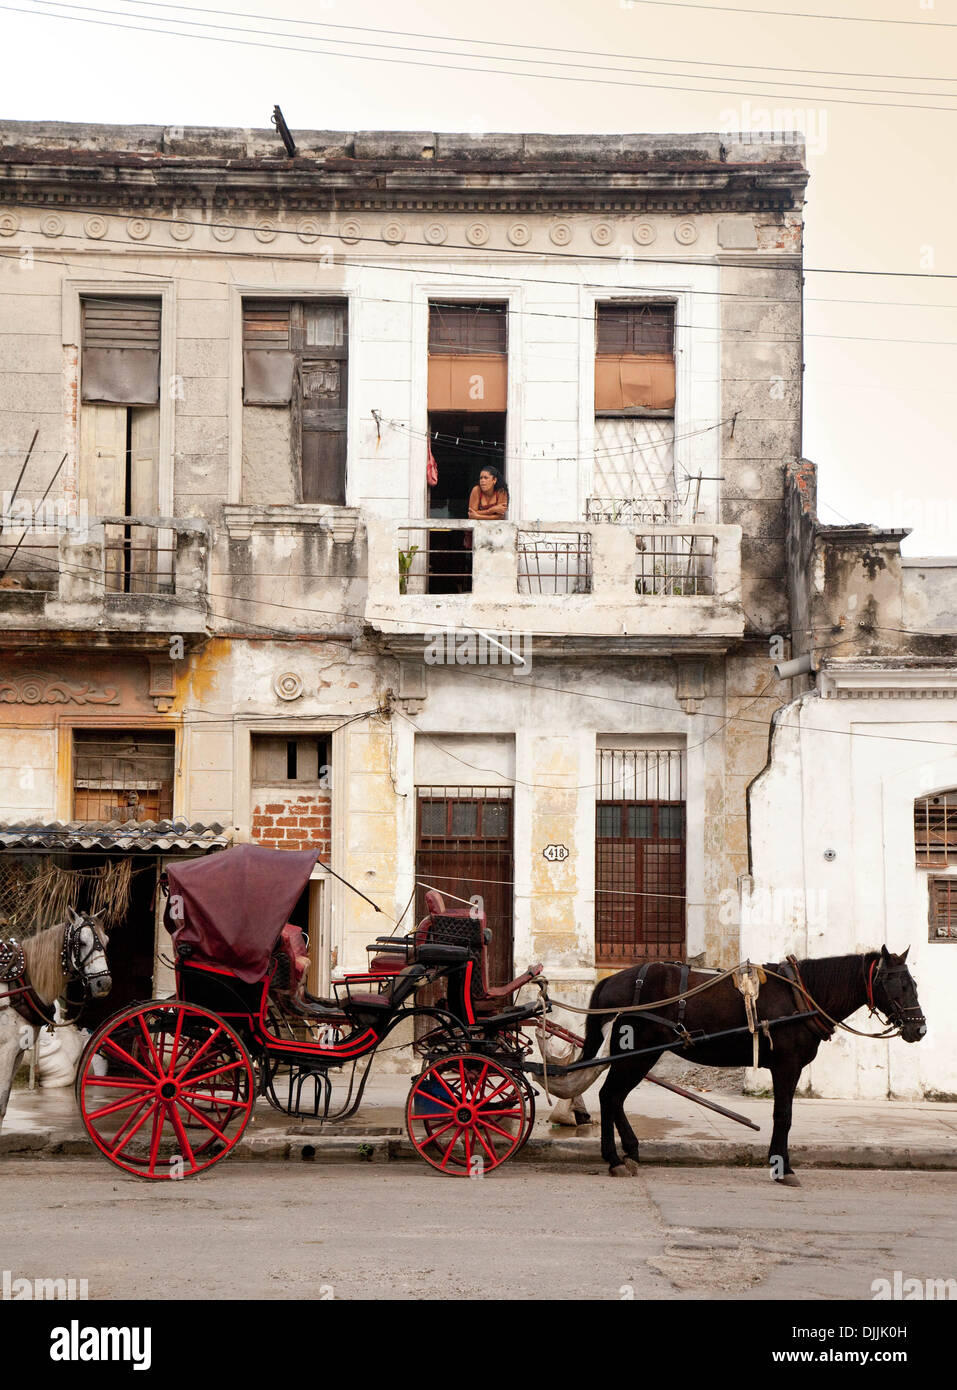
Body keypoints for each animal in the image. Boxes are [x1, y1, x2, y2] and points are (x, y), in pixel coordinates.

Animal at [0, 911, 111, 1128]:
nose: (104, 983)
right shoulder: (5, 1050)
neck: (19, 985)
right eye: (82, 942)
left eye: (106, 941)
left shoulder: (17, 1052)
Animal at [578, 945, 923, 1184]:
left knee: (614, 1098)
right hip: (637, 1053)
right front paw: (783, 1167)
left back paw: (629, 1151)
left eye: (914, 984)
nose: (919, 1029)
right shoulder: (787, 1065)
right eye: (896, 985)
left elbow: (782, 1115)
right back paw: (614, 1158)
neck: (801, 995)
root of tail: (614, 982)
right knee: (610, 1096)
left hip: (639, 1055)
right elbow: (783, 1115)